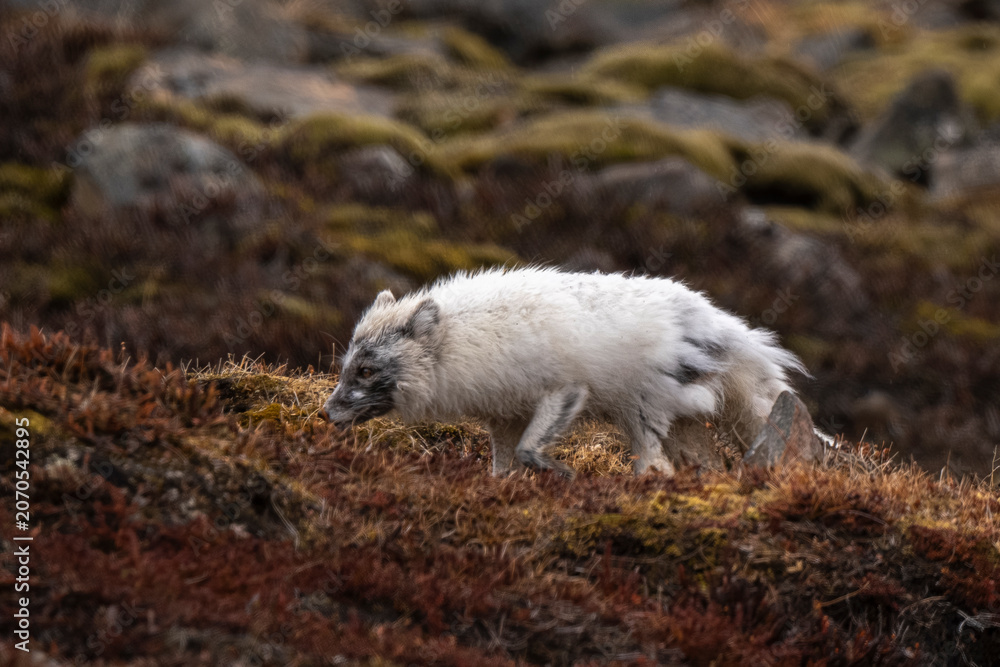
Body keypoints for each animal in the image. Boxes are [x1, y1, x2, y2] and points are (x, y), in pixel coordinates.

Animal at [323, 267, 808, 477]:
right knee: (696, 466)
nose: (326, 414)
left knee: (656, 466)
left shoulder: (564, 389)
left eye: (366, 371)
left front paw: (561, 473)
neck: (468, 338)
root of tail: (721, 326)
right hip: (678, 426)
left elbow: (527, 450)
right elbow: (502, 465)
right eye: (346, 367)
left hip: (643, 412)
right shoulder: (504, 414)